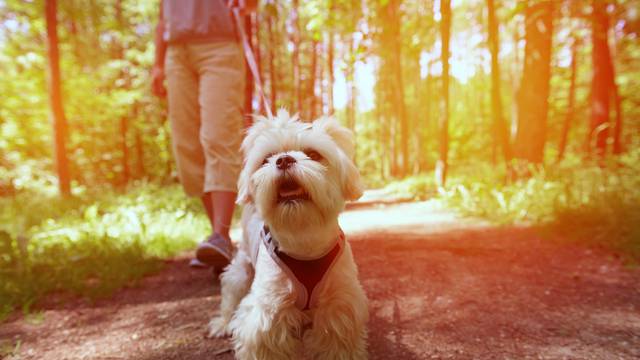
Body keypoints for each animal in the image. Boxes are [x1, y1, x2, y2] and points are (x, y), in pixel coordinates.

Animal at [209, 111, 368, 358]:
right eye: (267, 158)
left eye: (314, 154)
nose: (283, 160)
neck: (303, 240)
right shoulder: (268, 310)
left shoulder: (339, 305)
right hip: (240, 274)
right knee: (230, 298)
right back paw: (223, 324)